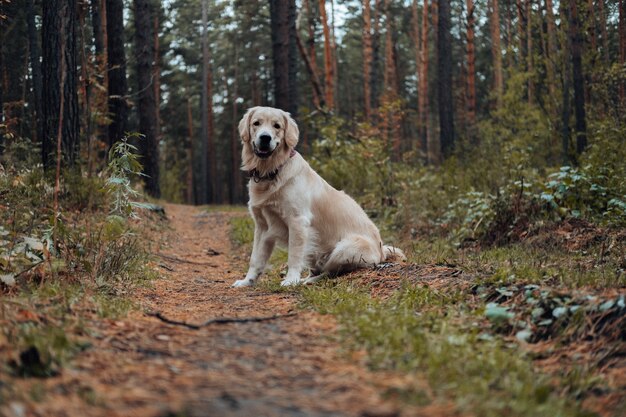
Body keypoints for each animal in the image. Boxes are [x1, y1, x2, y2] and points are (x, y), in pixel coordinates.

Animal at [232, 105, 402, 286]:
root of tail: (381, 250)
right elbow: (255, 259)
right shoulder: (262, 226)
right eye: (256, 123)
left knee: (332, 272)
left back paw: (306, 281)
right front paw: (247, 281)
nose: (265, 138)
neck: (271, 171)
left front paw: (290, 280)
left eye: (277, 126)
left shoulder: (298, 221)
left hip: (344, 249)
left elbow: (294, 256)